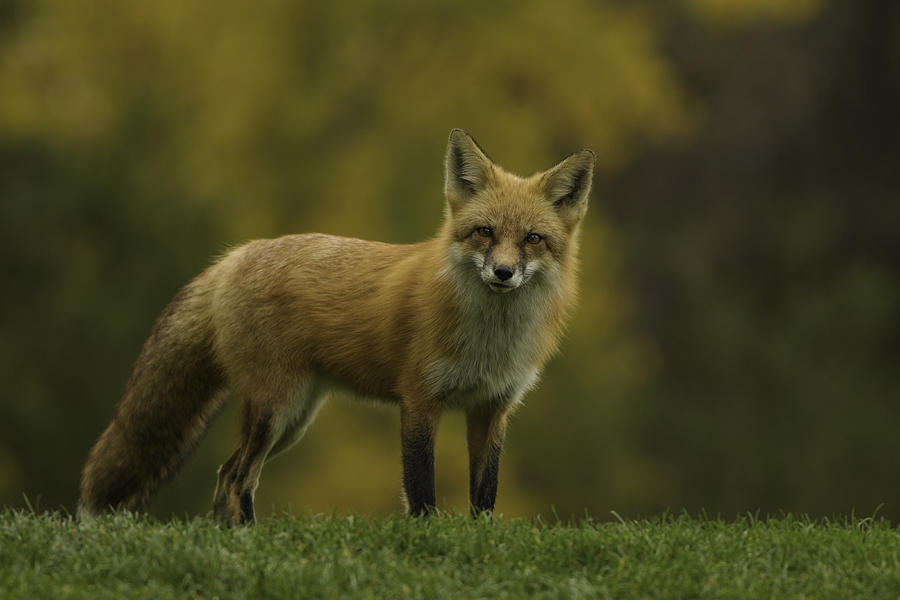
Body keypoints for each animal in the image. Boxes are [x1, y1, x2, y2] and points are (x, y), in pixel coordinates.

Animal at [81, 129, 596, 524]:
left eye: (533, 239)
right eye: (484, 232)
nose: (503, 273)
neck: (490, 341)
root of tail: (237, 254)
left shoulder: (492, 408)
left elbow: (484, 497)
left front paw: (478, 542)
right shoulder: (419, 400)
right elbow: (422, 491)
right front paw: (426, 541)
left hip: (293, 420)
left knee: (226, 474)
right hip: (275, 409)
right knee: (239, 477)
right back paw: (251, 540)